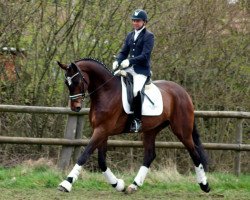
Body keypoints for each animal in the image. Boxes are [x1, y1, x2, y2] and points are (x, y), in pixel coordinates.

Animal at [56, 57, 209, 194]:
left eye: (77, 80)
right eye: (66, 82)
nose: (75, 107)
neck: (106, 91)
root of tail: (183, 92)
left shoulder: (102, 130)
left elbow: (85, 155)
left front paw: (66, 183)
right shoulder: (101, 131)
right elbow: (102, 161)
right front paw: (118, 184)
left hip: (182, 130)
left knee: (194, 153)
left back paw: (204, 185)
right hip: (151, 130)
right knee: (150, 155)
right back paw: (133, 186)